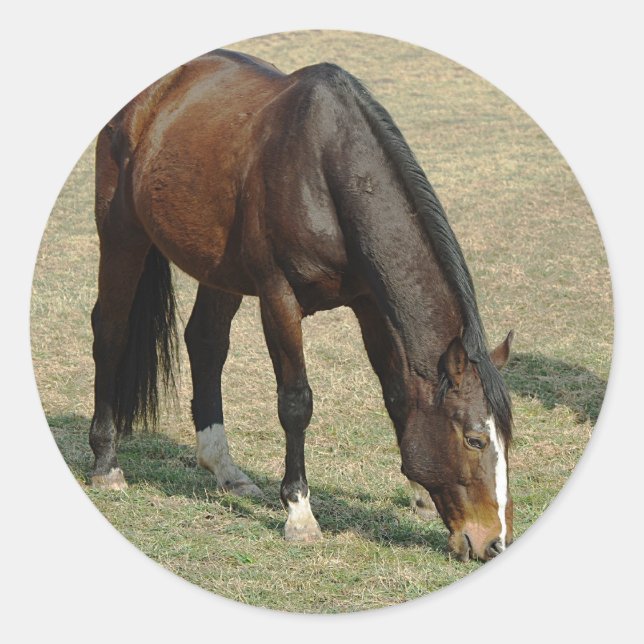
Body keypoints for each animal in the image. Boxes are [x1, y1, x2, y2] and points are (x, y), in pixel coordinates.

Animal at [89, 49, 514, 562]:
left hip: (219, 269)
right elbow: (296, 402)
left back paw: (224, 470)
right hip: (122, 234)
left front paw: (418, 494)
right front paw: (299, 514)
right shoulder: (279, 298)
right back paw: (106, 463)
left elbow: (397, 392)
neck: (328, 169)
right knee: (110, 333)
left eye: (508, 439)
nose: (493, 541)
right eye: (474, 439)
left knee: (206, 343)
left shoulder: (369, 304)